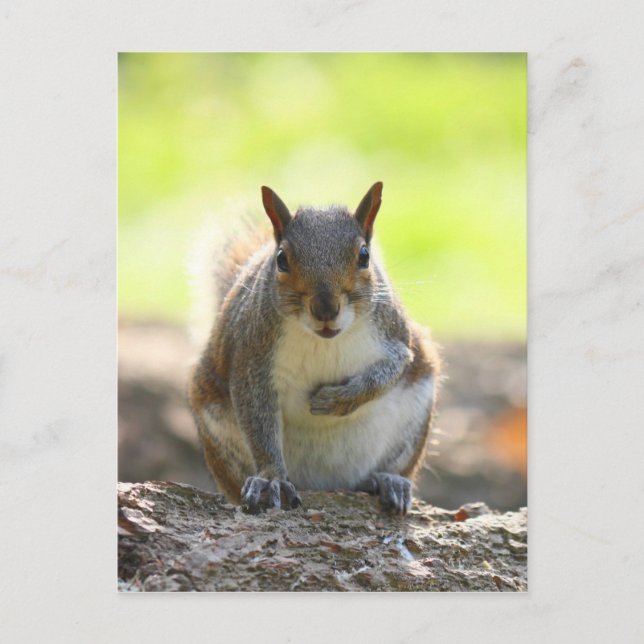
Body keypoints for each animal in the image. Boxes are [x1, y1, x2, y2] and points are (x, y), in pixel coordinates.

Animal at [189, 182, 440, 514]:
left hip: (414, 418)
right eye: (281, 259)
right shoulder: (251, 358)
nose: (325, 309)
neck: (324, 340)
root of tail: (325, 484)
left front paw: (336, 400)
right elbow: (258, 421)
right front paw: (271, 478)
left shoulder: (396, 337)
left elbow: (391, 369)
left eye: (364, 256)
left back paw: (386, 480)